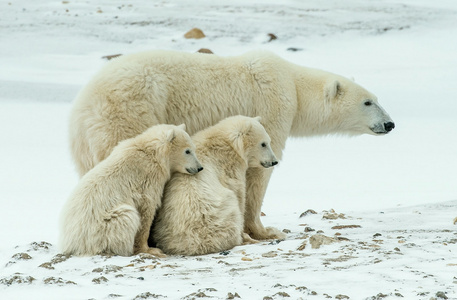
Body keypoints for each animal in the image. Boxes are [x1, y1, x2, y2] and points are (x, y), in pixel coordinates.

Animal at [69, 50, 394, 240]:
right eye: (368, 102)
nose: (390, 124)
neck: (294, 85)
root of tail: (84, 104)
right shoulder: (272, 106)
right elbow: (258, 172)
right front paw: (264, 230)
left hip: (86, 143)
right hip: (132, 111)